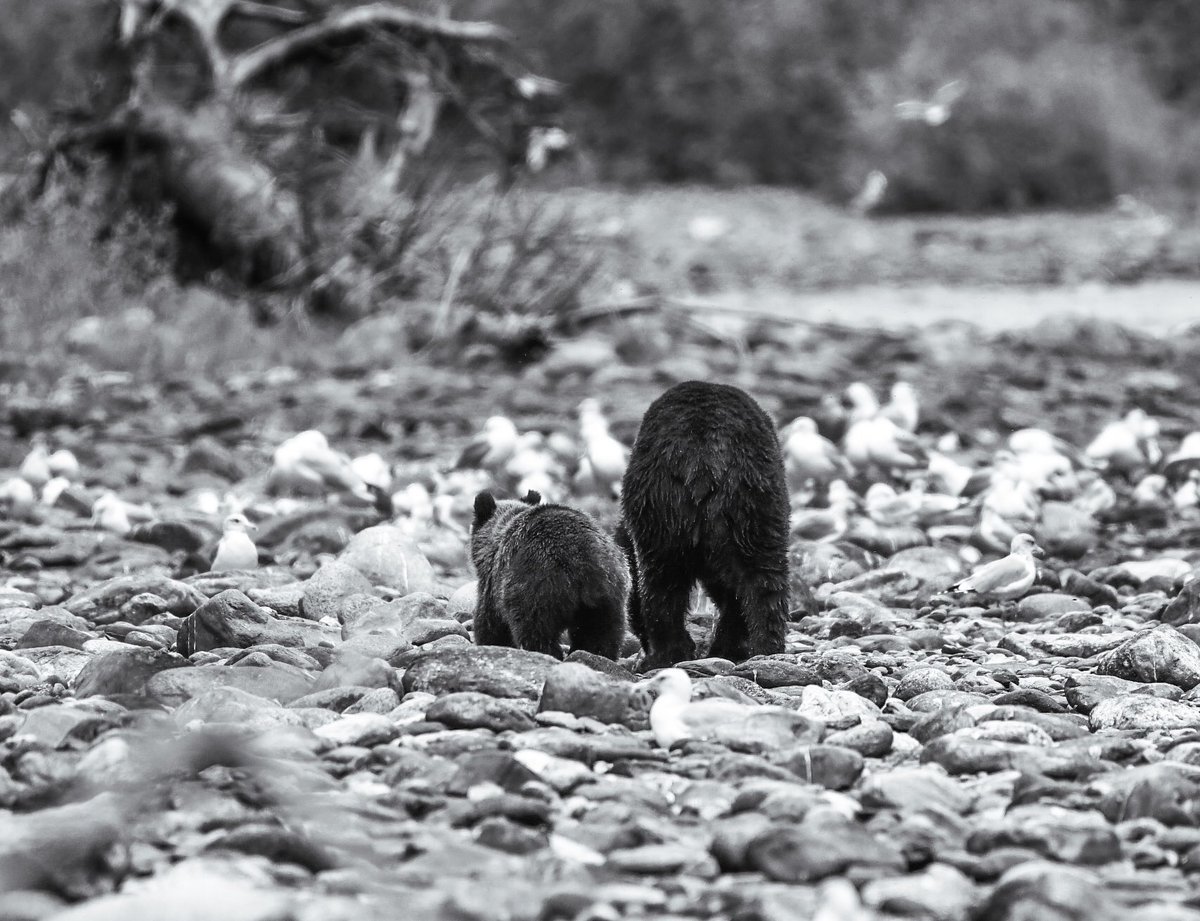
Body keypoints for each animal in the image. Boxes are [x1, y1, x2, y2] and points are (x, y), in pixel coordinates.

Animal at [470, 489, 629, 659]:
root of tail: (584, 559)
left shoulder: (493, 581)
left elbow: (490, 623)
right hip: (611, 592)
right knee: (602, 633)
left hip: (535, 586)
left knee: (536, 632)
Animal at [619, 380, 790, 668]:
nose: (640, 643)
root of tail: (701, 458)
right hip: (748, 502)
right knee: (761, 573)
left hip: (666, 502)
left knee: (661, 580)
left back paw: (666, 653)